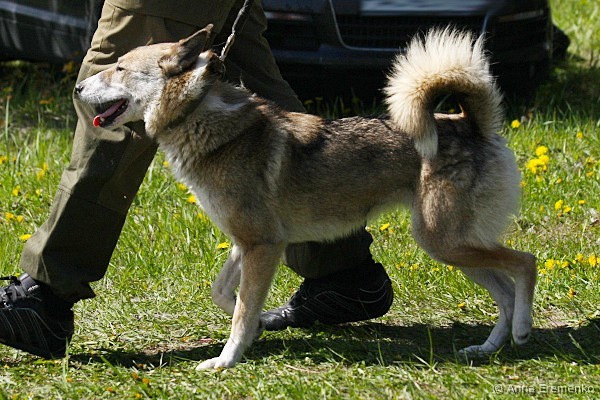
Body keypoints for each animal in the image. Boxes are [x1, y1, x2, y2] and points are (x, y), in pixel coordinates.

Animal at [75, 25, 537, 369]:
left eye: (118, 67)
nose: (78, 88)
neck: (201, 117)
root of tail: (472, 124)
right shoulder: (248, 243)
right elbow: (226, 295)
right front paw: (262, 323)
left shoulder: (263, 245)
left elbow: (239, 313)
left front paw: (225, 360)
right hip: (453, 248)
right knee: (504, 290)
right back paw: (490, 347)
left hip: (444, 242)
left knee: (525, 264)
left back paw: (522, 330)